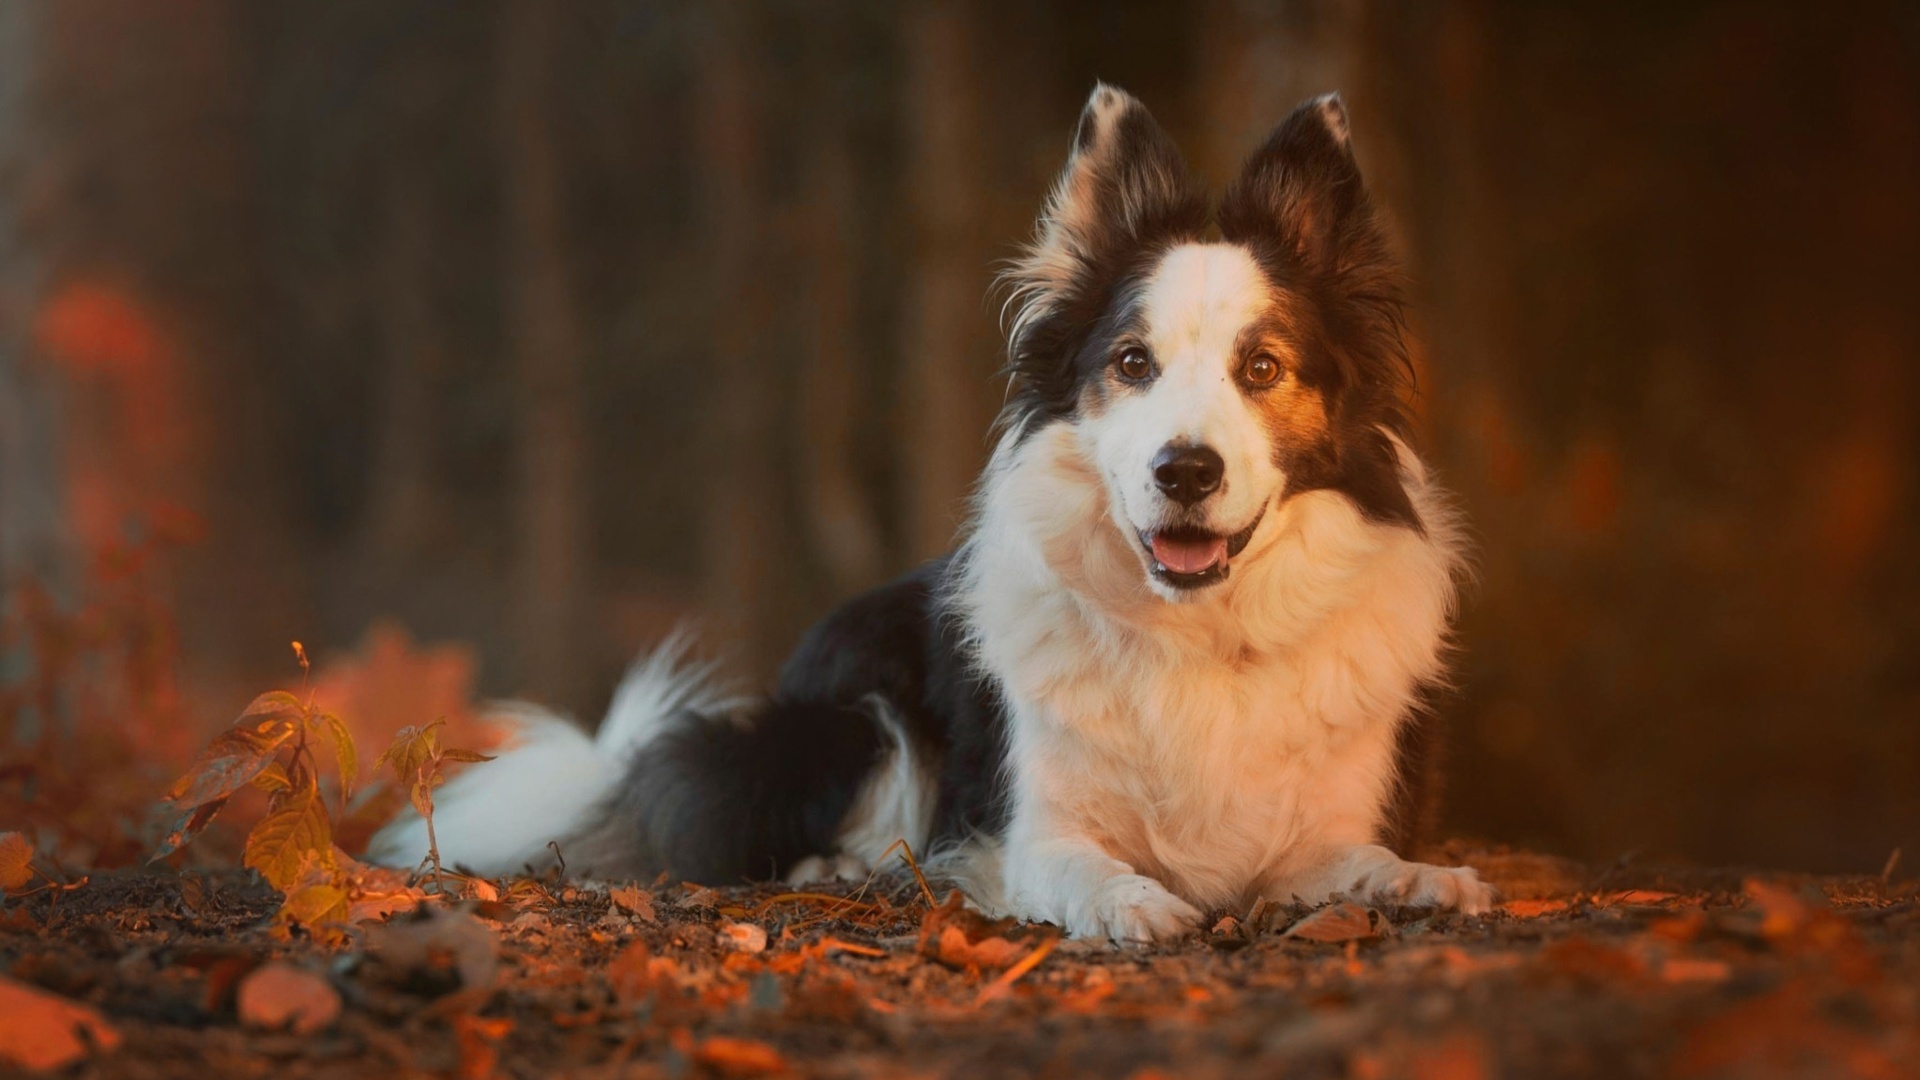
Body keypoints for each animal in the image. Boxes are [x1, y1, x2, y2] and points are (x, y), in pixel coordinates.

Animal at [366, 84, 1489, 937]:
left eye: (1263, 368)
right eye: (1133, 364)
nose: (1185, 471)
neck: (1199, 631)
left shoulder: (1322, 821)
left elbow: (1354, 857)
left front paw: (1424, 879)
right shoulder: (1029, 827)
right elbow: (1078, 867)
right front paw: (1135, 902)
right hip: (860, 715)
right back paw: (845, 867)